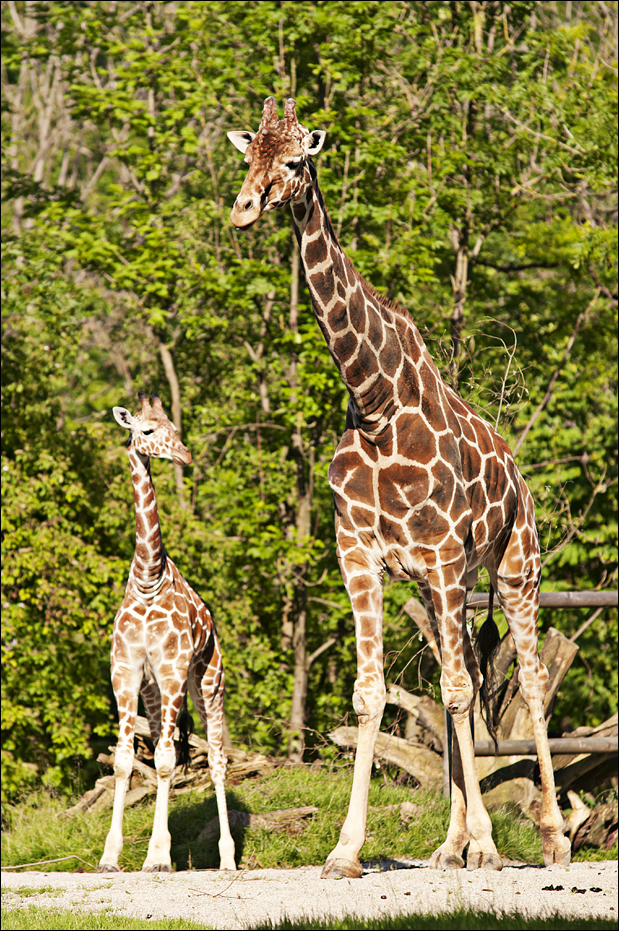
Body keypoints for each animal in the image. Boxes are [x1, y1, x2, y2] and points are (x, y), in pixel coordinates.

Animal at [98, 394, 236, 873]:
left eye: (175, 427)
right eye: (149, 431)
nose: (185, 455)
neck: (147, 578)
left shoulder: (175, 671)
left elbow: (161, 760)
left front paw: (157, 857)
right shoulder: (126, 672)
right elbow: (126, 761)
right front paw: (111, 856)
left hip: (208, 683)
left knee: (215, 759)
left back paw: (227, 858)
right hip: (155, 692)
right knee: (170, 749)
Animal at [227, 97, 570, 877]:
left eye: (297, 158)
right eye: (248, 154)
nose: (244, 208)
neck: (377, 400)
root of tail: (521, 478)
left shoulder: (443, 557)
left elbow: (458, 691)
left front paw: (488, 843)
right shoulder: (359, 554)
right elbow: (371, 694)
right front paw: (346, 850)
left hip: (515, 569)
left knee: (525, 677)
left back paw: (549, 836)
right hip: (446, 587)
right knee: (458, 674)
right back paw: (449, 844)